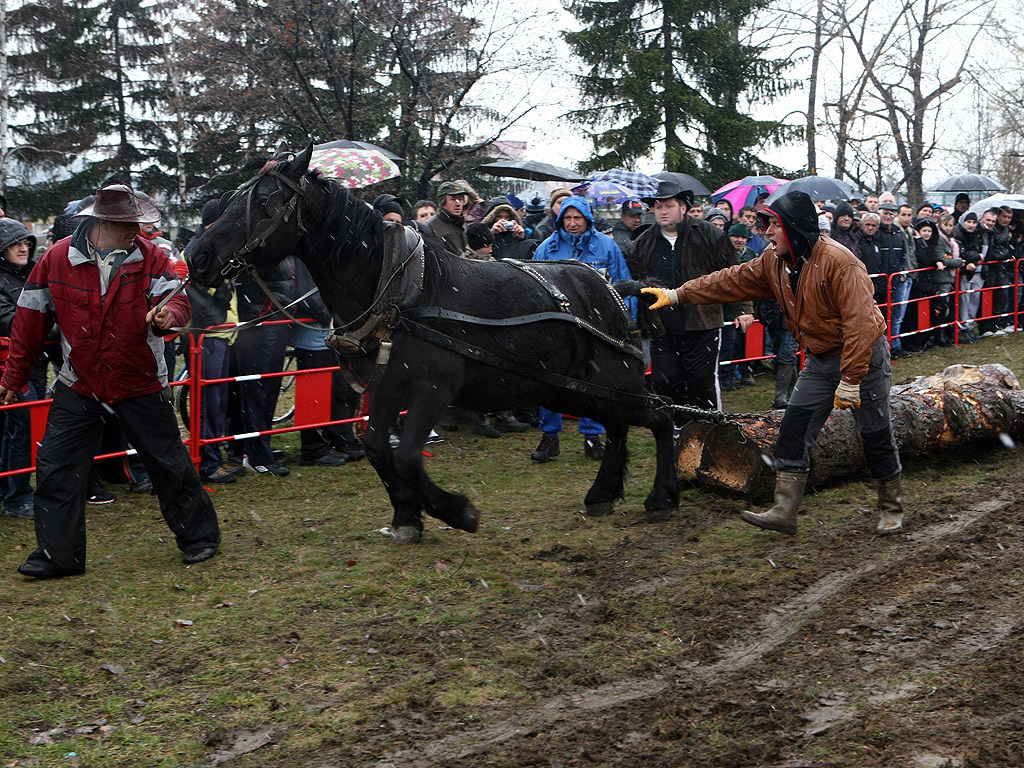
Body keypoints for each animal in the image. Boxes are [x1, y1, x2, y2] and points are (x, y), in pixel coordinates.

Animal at [189, 143, 684, 540]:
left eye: (265, 202)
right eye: (231, 200)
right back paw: (602, 493)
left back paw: (662, 498)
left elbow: (407, 455)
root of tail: (614, 286)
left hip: (612, 381)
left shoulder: (431, 389)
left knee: (658, 418)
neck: (398, 292)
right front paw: (407, 516)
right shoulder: (386, 389)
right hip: (569, 390)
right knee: (619, 426)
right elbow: (377, 448)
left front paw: (456, 511)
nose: (197, 256)